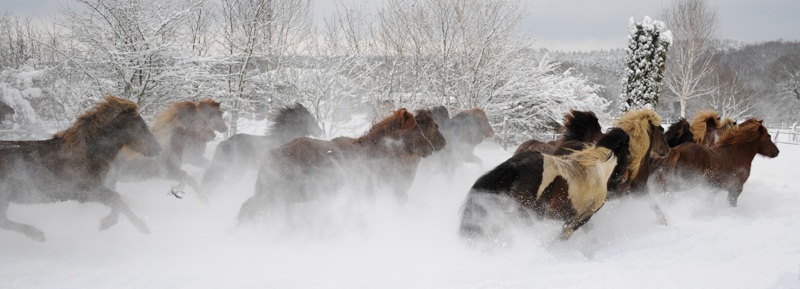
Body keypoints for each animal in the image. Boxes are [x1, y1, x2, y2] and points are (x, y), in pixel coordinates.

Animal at [0, 95, 161, 240]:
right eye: (142, 126)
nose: (157, 148)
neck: (87, 154)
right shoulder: (86, 191)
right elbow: (118, 200)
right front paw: (140, 228)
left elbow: (119, 201)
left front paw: (107, 223)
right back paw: (37, 234)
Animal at [460, 127, 628, 240]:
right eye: (628, 154)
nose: (623, 178)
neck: (597, 168)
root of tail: (517, 164)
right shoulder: (581, 218)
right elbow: (564, 235)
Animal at [648, 118, 780, 206]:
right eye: (768, 136)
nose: (777, 152)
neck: (736, 153)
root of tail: (677, 151)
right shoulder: (735, 189)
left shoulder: (713, 189)